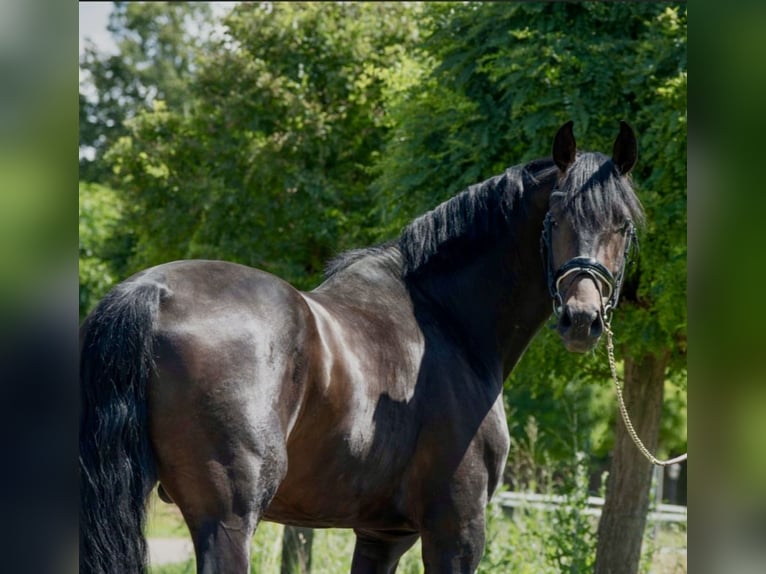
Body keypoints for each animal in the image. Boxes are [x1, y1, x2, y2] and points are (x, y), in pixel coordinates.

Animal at [79, 120, 640, 572]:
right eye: (555, 217)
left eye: (624, 225)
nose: (582, 318)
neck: (447, 320)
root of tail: (153, 292)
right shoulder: (456, 530)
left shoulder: (380, 533)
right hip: (229, 521)